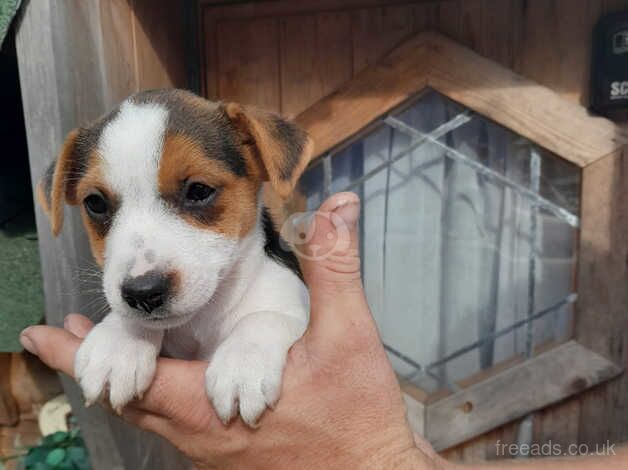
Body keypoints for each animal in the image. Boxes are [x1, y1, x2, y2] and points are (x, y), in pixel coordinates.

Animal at [37, 89, 312, 426]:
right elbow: (129, 319)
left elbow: (267, 316)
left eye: (199, 190)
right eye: (95, 203)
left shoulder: (297, 304)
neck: (202, 320)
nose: (143, 293)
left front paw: (242, 365)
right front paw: (119, 343)